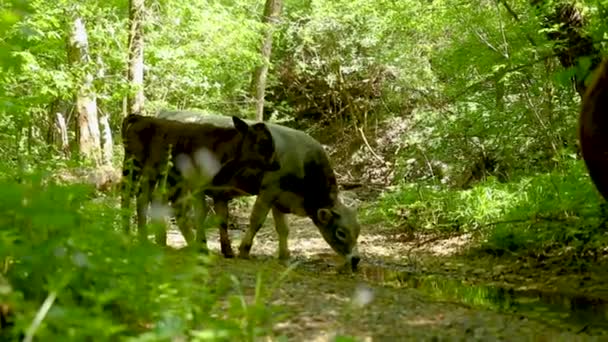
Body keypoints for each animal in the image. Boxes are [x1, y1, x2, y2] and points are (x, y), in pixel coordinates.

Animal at [119, 113, 280, 256]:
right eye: (263, 141)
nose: (277, 164)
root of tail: (142, 118)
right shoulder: (198, 185)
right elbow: (200, 214)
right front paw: (202, 246)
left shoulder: (218, 190)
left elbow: (222, 219)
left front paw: (227, 250)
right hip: (139, 166)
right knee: (133, 196)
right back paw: (131, 236)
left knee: (147, 198)